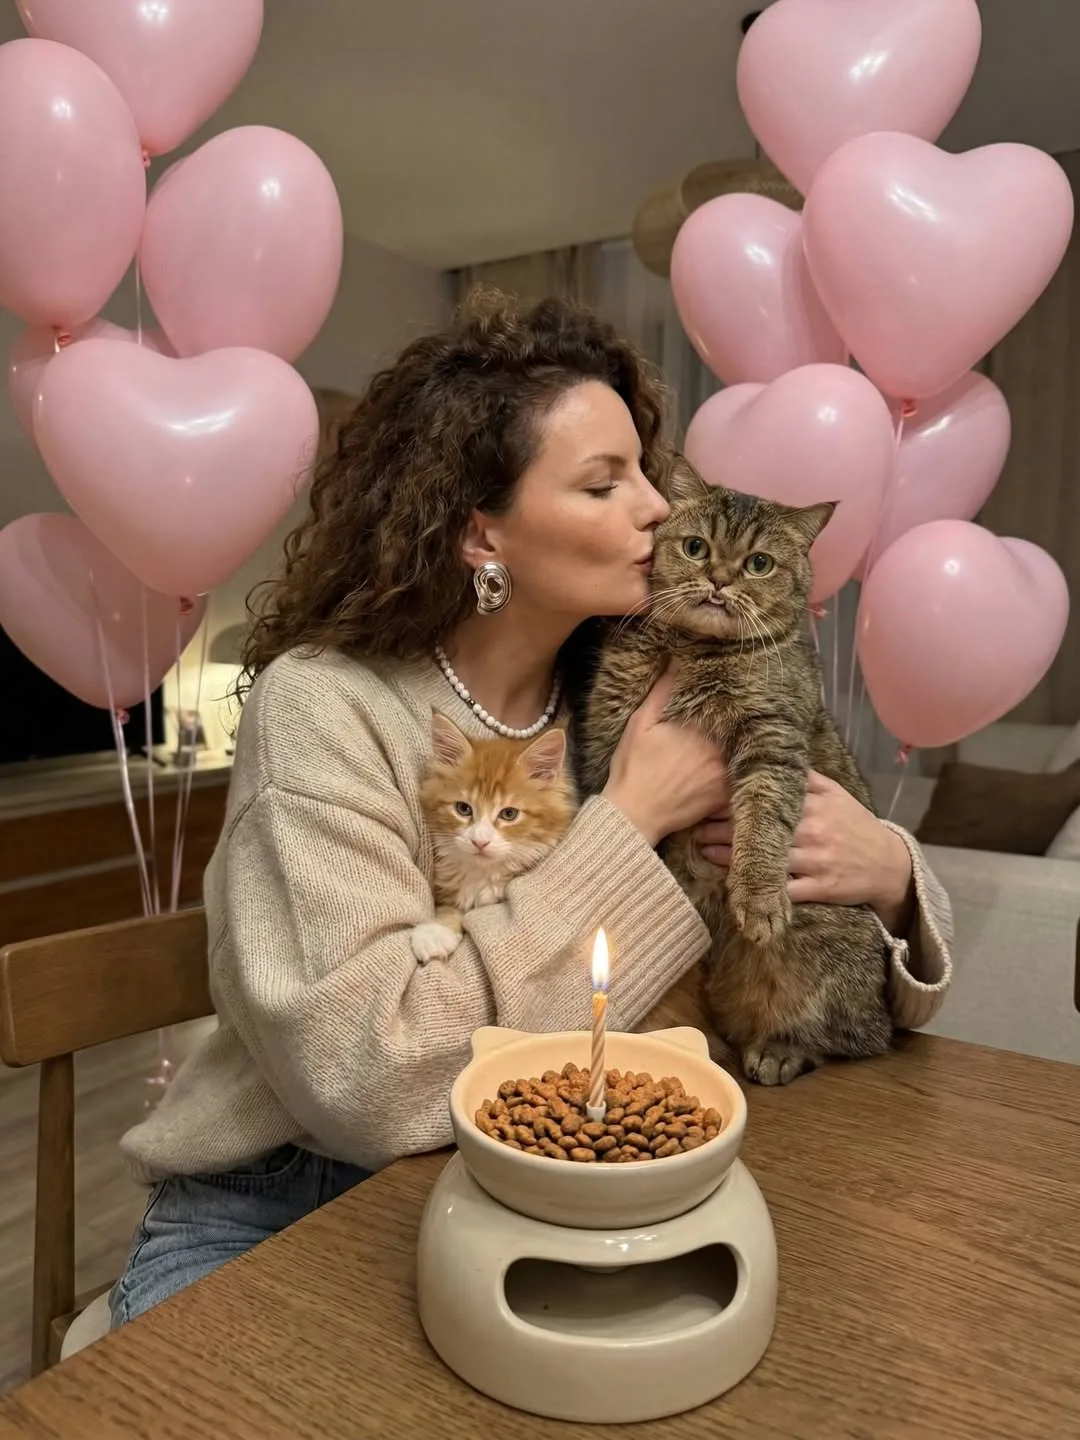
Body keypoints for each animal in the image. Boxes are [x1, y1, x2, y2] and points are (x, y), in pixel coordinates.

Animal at [410, 713, 575, 963]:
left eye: (509, 814)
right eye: (463, 809)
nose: (480, 842)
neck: (483, 875)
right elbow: (450, 907)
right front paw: (435, 931)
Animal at [573, 457, 892, 1086]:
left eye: (759, 563)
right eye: (696, 547)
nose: (719, 580)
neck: (693, 650)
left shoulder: (772, 739)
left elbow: (765, 822)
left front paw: (759, 896)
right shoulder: (605, 732)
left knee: (848, 1037)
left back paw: (780, 1047)